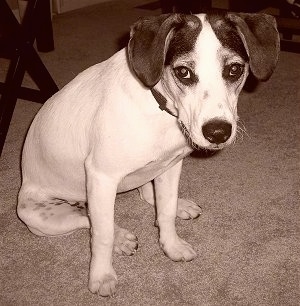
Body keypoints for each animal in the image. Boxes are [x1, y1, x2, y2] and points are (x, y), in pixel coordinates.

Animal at [17, 12, 280, 296]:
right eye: (183, 72)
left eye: (234, 69)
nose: (218, 132)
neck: (159, 107)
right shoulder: (101, 176)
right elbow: (102, 234)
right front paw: (102, 275)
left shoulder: (173, 164)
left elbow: (165, 210)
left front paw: (171, 245)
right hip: (37, 216)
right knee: (88, 220)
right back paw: (120, 238)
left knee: (139, 196)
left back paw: (179, 206)